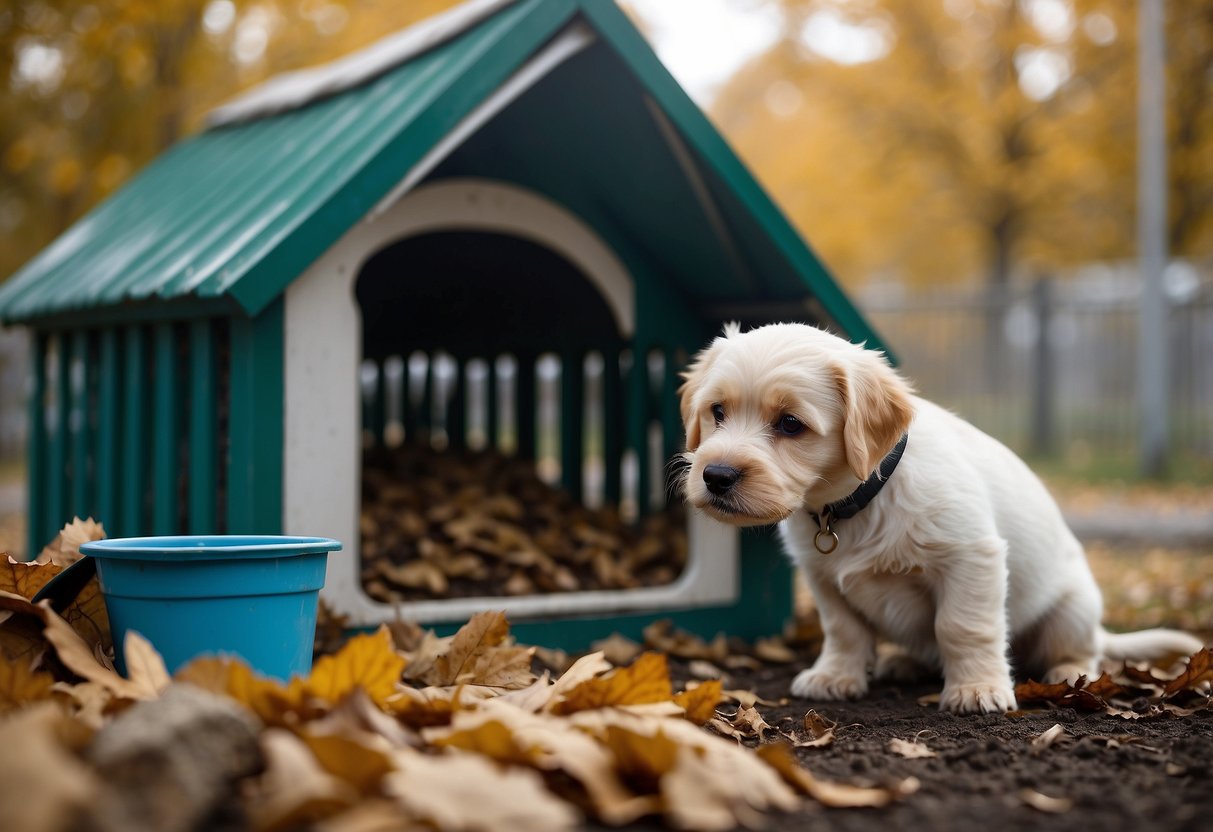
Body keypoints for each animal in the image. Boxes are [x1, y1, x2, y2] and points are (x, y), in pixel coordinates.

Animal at [684, 322, 1203, 713]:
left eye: (791, 424)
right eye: (717, 411)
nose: (716, 475)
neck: (859, 501)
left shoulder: (971, 558)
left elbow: (961, 627)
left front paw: (977, 688)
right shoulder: (822, 577)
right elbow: (844, 630)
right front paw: (835, 675)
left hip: (1072, 610)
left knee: (1082, 651)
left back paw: (1069, 673)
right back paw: (904, 662)